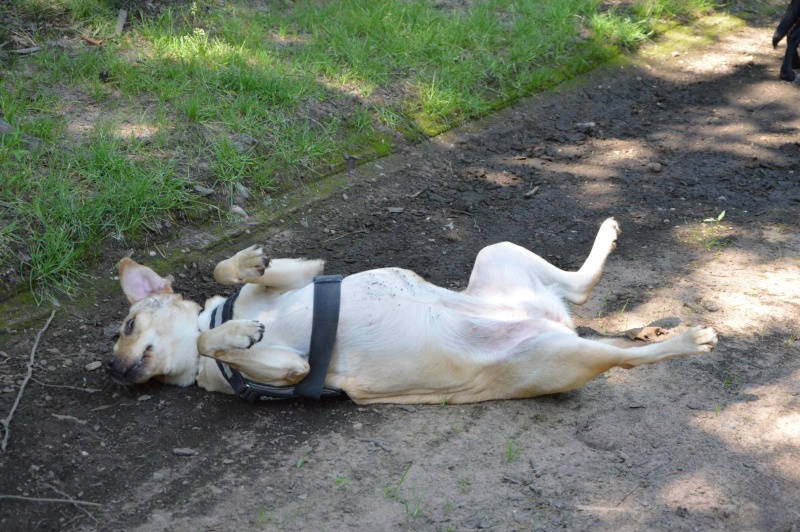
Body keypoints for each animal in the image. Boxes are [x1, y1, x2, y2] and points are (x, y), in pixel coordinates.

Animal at [104, 218, 720, 406]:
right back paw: (686, 340)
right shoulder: (289, 372)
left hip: (499, 257)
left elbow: (225, 272)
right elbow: (223, 343)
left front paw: (246, 266)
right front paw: (238, 336)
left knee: (585, 294)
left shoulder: (305, 273)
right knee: (622, 353)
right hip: (556, 354)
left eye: (128, 326)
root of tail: (553, 323)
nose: (114, 368)